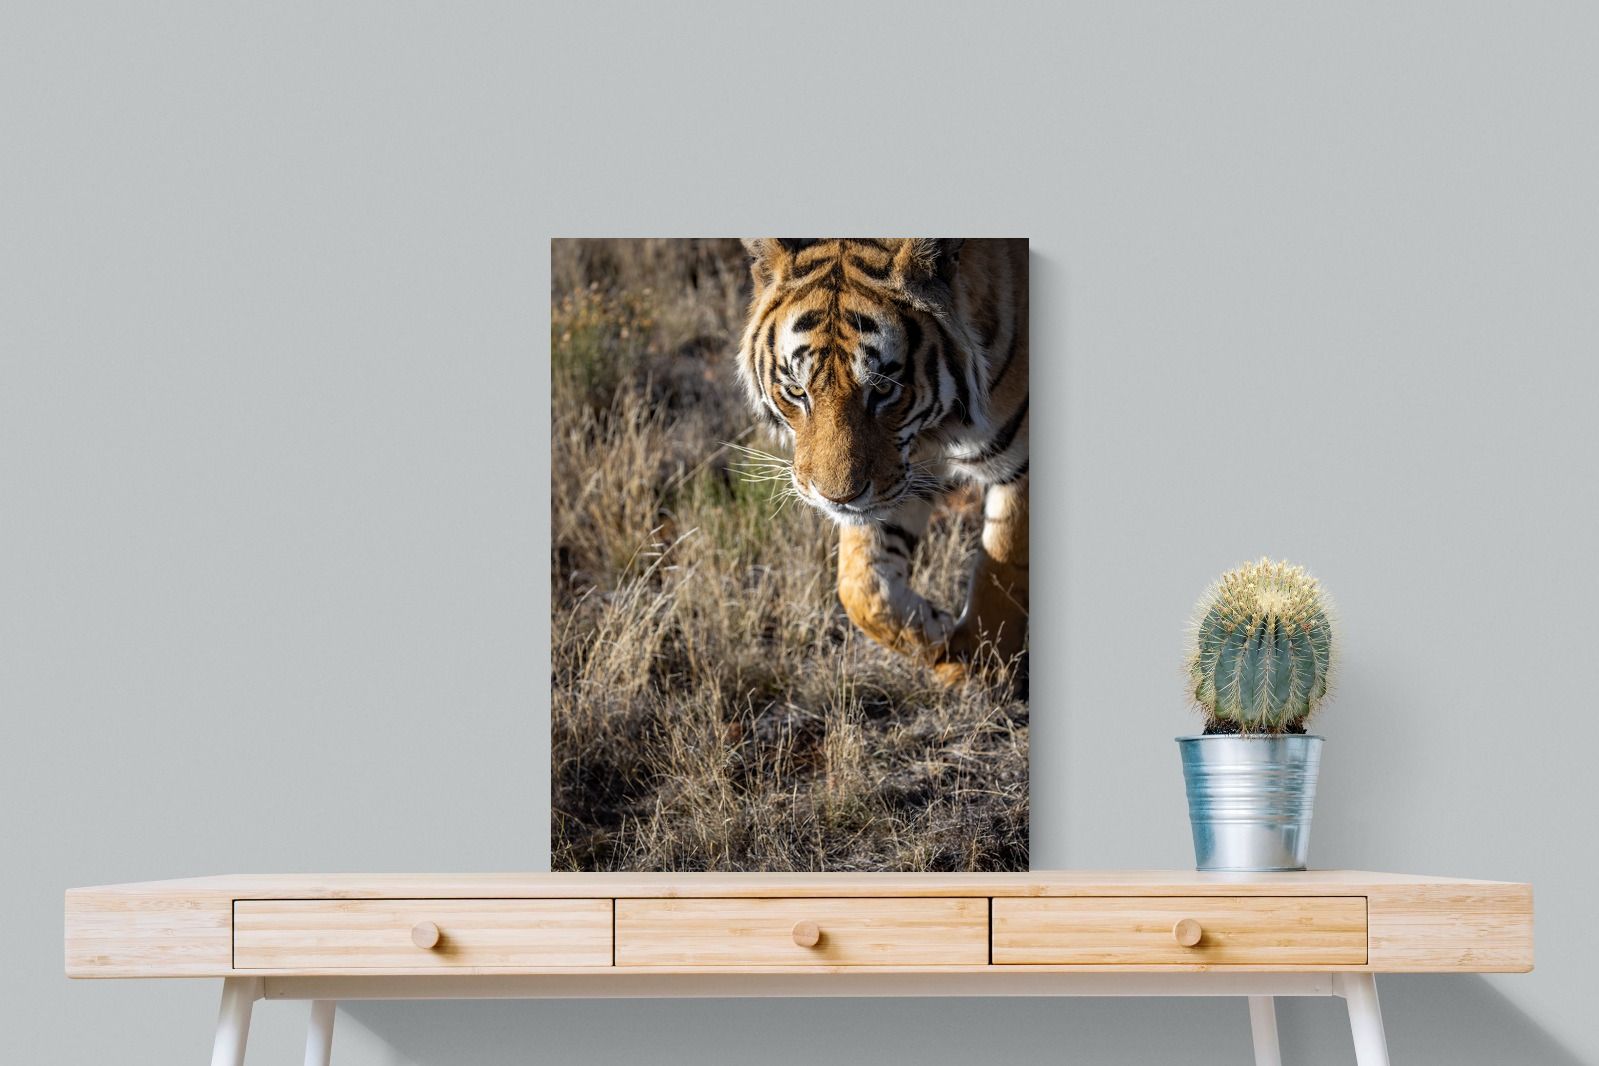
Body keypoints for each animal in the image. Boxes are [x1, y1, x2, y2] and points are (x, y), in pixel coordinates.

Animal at [736, 238, 1028, 684]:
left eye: (885, 389)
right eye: (797, 391)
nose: (836, 499)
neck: (939, 428)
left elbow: (1003, 570)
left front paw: (981, 666)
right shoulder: (902, 473)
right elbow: (860, 586)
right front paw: (938, 634)